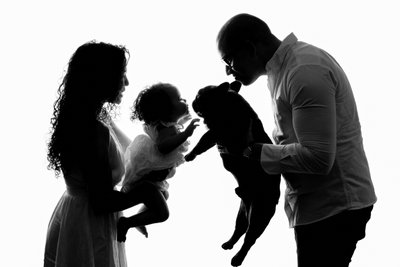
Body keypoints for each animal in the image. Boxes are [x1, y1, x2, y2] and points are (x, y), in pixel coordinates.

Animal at [185, 81, 282, 267]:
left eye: (200, 96)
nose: (193, 100)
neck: (229, 103)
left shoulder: (217, 131)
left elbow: (203, 141)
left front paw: (190, 155)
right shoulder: (216, 134)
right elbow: (205, 142)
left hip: (259, 215)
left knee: (249, 239)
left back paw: (238, 258)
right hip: (243, 213)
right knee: (239, 229)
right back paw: (229, 244)